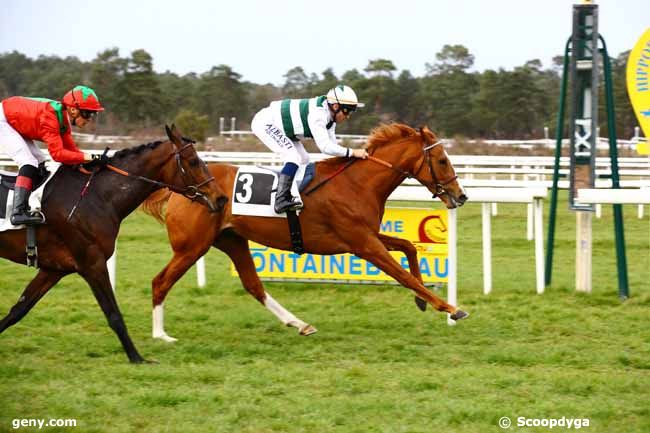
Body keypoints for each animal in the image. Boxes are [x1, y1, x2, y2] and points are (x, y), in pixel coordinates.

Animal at [0, 124, 228, 362]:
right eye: (193, 161)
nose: (221, 198)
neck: (96, 196)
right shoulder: (93, 263)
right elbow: (114, 314)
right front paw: (137, 358)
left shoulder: (54, 269)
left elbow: (19, 309)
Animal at [142, 122, 466, 340]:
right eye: (442, 160)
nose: (460, 196)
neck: (358, 183)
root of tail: (182, 189)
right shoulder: (363, 244)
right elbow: (402, 275)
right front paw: (451, 308)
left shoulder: (368, 236)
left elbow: (409, 247)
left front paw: (422, 301)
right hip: (192, 246)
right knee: (160, 282)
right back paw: (160, 335)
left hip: (231, 240)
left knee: (253, 285)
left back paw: (299, 324)